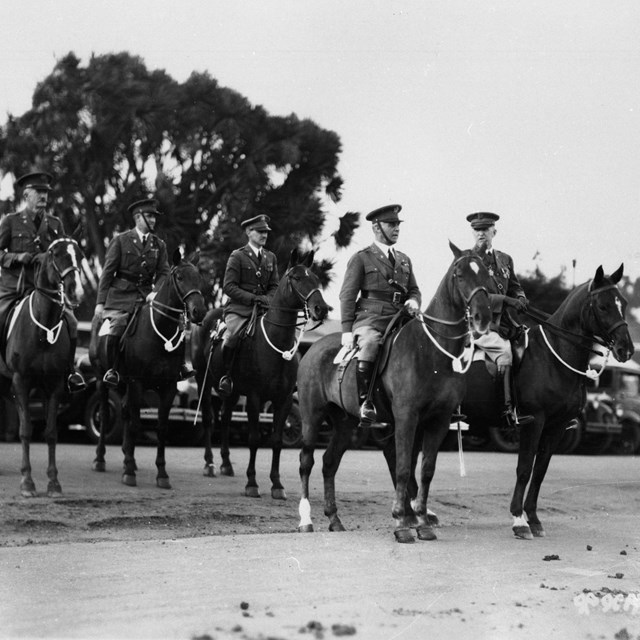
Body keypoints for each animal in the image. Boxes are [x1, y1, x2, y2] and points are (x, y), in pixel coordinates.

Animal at [0, 234, 84, 496]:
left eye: (80, 255)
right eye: (56, 254)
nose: (75, 291)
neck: (42, 327)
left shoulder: (54, 385)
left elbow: (51, 432)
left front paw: (53, 482)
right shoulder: (21, 381)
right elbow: (26, 430)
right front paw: (27, 482)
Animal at [89, 248, 205, 488]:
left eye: (199, 278)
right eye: (180, 277)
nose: (199, 311)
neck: (159, 332)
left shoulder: (168, 387)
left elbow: (161, 428)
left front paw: (162, 474)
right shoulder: (137, 382)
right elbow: (135, 425)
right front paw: (128, 473)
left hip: (124, 384)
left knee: (124, 410)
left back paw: (128, 457)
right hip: (102, 380)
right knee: (105, 414)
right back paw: (100, 459)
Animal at [189, 248, 330, 498]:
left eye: (315, 278)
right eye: (296, 278)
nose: (321, 309)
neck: (275, 343)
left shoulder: (283, 400)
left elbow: (276, 441)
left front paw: (277, 484)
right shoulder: (255, 397)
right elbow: (254, 439)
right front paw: (252, 483)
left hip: (231, 391)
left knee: (225, 418)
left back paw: (226, 464)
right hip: (203, 381)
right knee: (208, 419)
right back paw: (210, 464)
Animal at [298, 242, 492, 544]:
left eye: (485, 273)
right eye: (460, 275)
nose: (483, 317)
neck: (432, 351)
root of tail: (313, 349)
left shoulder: (437, 421)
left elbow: (425, 471)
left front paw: (422, 521)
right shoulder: (406, 417)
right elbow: (402, 469)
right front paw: (402, 522)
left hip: (345, 424)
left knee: (329, 463)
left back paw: (335, 520)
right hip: (311, 417)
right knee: (306, 462)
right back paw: (306, 519)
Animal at [500, 264, 636, 540]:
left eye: (624, 303)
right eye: (603, 306)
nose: (626, 350)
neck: (554, 358)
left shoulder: (557, 425)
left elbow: (540, 470)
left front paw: (533, 519)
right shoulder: (534, 421)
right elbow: (524, 468)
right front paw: (519, 520)